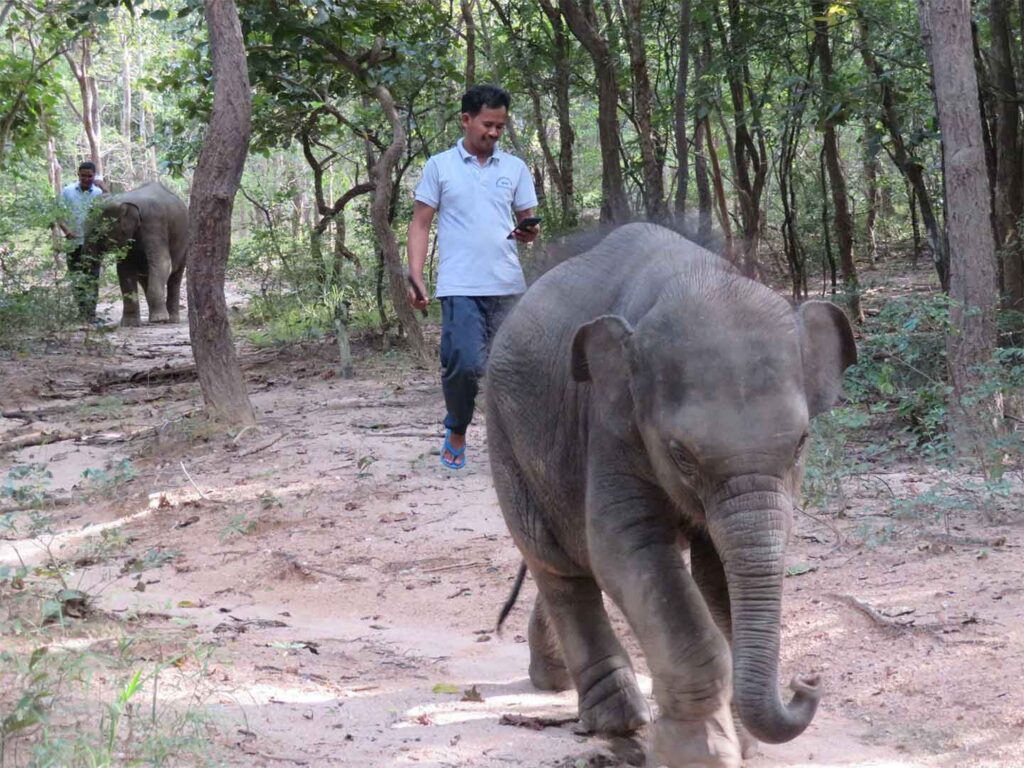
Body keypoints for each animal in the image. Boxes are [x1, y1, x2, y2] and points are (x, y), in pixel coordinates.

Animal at [83, 182, 188, 326]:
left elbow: (162, 262)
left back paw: (169, 319)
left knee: (175, 277)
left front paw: (159, 319)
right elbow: (124, 270)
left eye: (99, 233)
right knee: (146, 277)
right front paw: (130, 324)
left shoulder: (154, 224)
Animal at [484, 223, 856, 767]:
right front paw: (701, 754)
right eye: (681, 455)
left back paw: (550, 678)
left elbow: (716, 569)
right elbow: (626, 551)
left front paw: (740, 741)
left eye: (801, 443)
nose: (807, 682)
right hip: (503, 433)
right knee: (557, 564)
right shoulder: (609, 424)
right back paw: (617, 721)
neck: (689, 278)